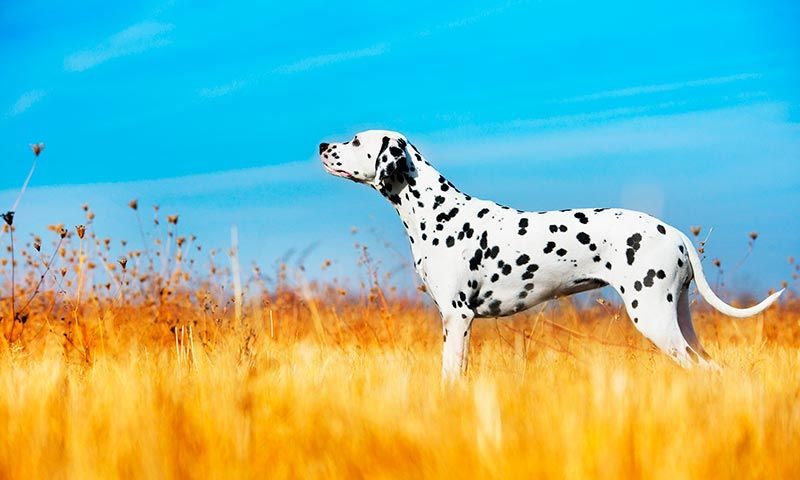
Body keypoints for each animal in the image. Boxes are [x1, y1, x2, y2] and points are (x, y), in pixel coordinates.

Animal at [318, 129, 780, 380]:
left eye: (356, 140)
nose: (322, 144)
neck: (436, 210)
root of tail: (676, 233)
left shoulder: (457, 317)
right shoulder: (455, 322)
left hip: (654, 319)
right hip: (678, 320)